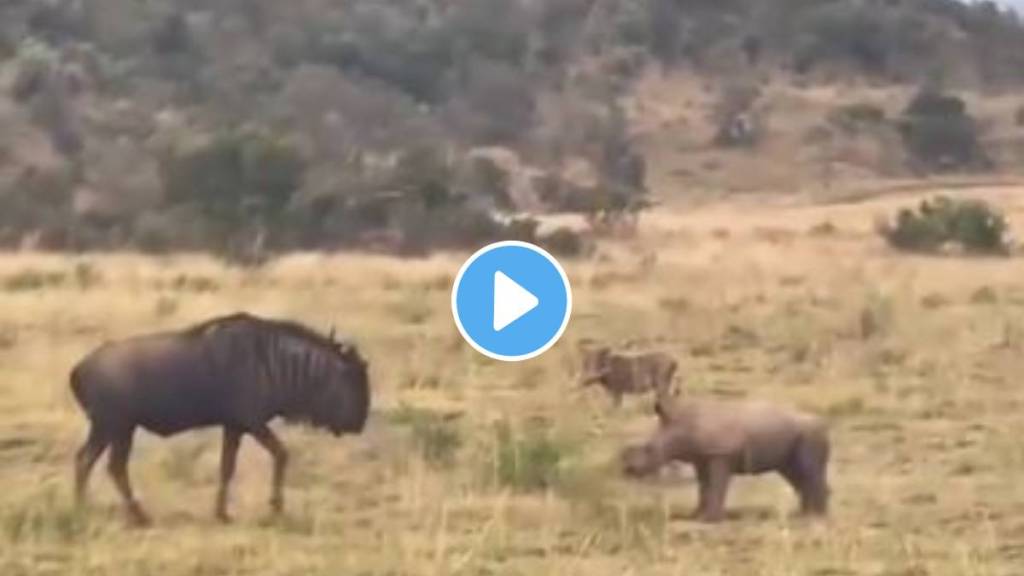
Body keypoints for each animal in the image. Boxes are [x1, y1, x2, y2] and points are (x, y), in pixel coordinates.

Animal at [70, 312, 370, 526]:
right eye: (355, 382)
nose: (360, 423)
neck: (269, 360)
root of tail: (80, 368)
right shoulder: (253, 423)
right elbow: (281, 454)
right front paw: (276, 507)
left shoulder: (234, 427)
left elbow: (227, 467)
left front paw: (222, 514)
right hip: (114, 428)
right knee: (102, 464)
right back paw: (118, 515)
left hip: (114, 430)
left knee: (97, 463)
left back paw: (96, 511)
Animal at [621, 394, 830, 522]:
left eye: (649, 448)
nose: (629, 470)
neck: (682, 425)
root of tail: (823, 423)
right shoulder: (701, 458)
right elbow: (704, 487)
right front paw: (696, 515)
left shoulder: (719, 454)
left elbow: (716, 485)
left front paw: (711, 519)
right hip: (795, 437)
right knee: (795, 474)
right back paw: (804, 515)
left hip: (810, 433)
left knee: (808, 471)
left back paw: (816, 518)